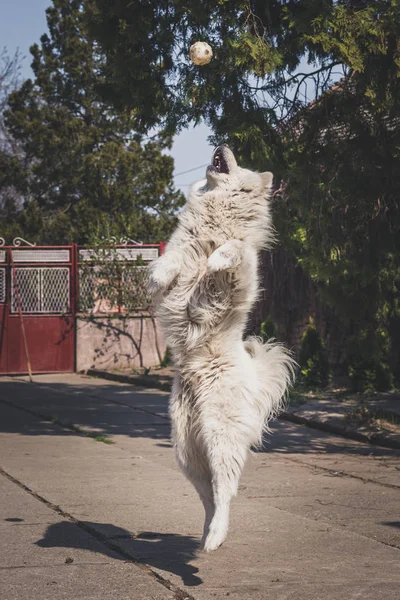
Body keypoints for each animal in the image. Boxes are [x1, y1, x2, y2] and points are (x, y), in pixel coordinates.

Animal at [148, 145, 294, 552]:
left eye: (239, 160)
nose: (220, 145)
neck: (217, 218)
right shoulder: (182, 248)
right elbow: (173, 257)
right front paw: (160, 274)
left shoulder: (242, 276)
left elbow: (235, 252)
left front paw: (217, 258)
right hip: (187, 450)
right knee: (210, 495)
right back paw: (209, 534)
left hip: (219, 436)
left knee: (226, 489)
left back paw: (214, 537)